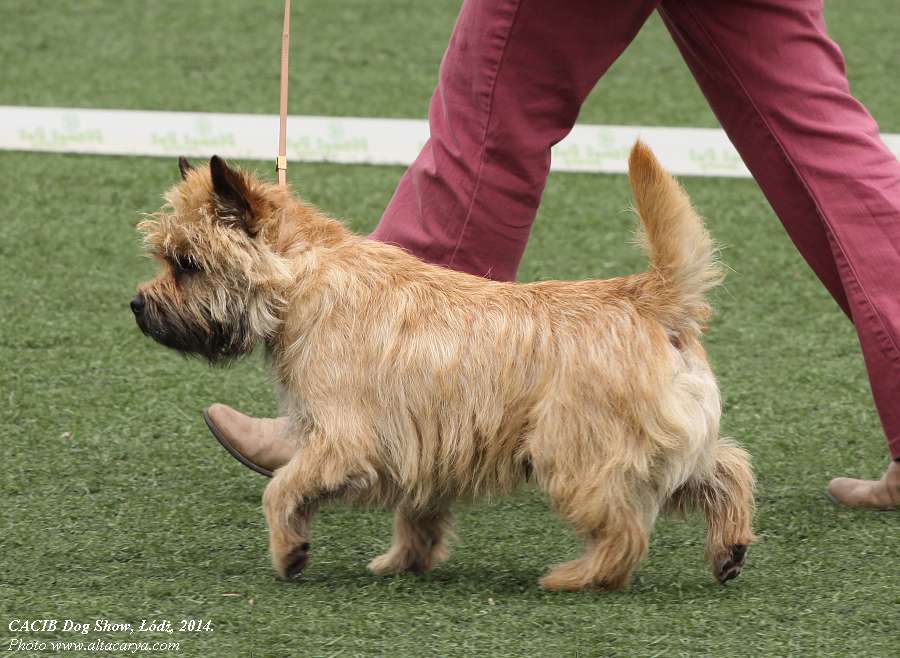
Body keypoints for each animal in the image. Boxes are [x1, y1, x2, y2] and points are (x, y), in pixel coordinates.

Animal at [133, 143, 755, 591]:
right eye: (165, 258)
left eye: (187, 264)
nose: (137, 304)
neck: (301, 279)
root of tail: (649, 297)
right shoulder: (424, 447)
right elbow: (418, 516)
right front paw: (404, 561)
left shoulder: (344, 439)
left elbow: (282, 489)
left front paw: (290, 552)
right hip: (670, 443)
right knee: (726, 470)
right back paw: (729, 548)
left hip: (575, 456)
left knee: (625, 532)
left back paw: (574, 577)